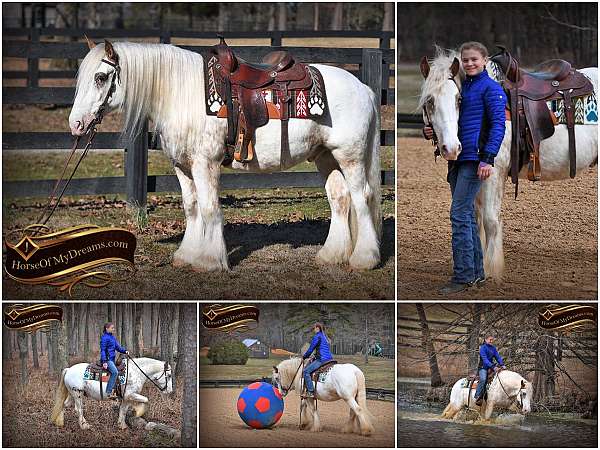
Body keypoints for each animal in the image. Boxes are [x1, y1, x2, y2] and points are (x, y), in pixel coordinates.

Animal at [68, 39, 382, 270]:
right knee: (340, 199)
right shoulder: (182, 167)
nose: (76, 124)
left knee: (362, 198)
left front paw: (209, 260)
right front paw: (187, 255)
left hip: (350, 157)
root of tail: (363, 88)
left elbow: (209, 208)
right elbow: (191, 207)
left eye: (100, 77)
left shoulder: (204, 164)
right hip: (326, 157)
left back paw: (364, 259)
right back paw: (332, 256)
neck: (181, 94)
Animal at [420, 50, 596, 282]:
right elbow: (477, 221)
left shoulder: (494, 174)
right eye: (429, 101)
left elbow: (490, 221)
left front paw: (491, 270)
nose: (451, 148)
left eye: (459, 99)